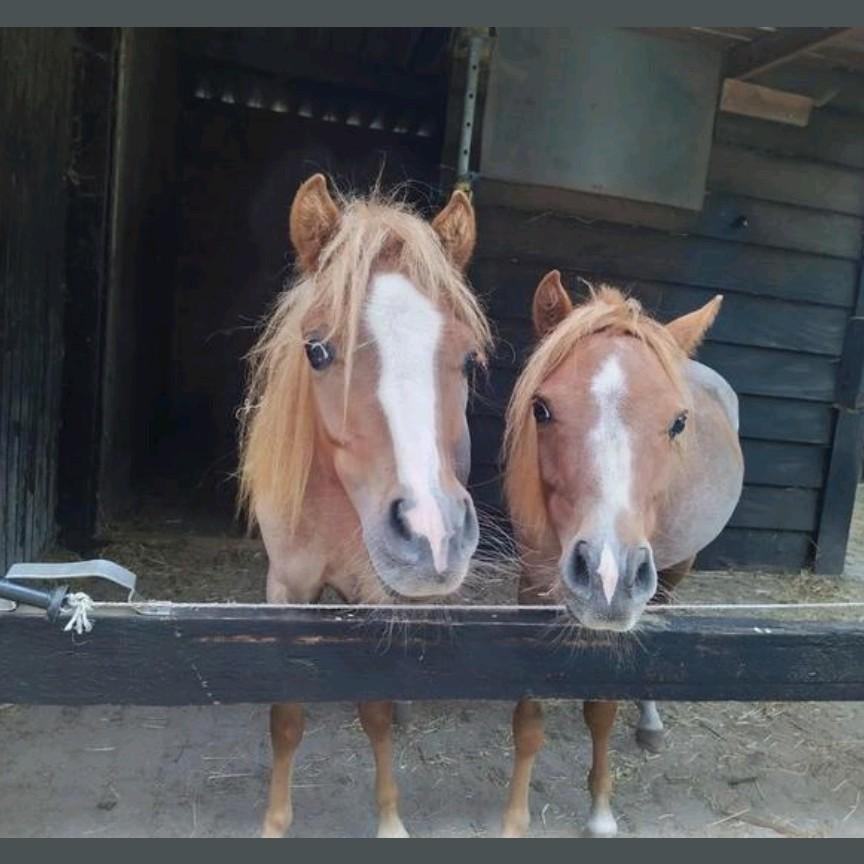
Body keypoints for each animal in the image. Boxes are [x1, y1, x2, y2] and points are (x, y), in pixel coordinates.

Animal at [238, 174, 492, 838]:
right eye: (317, 351)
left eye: (469, 359)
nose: (431, 532)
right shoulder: (287, 588)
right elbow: (287, 715)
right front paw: (275, 822)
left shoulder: (379, 593)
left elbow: (375, 708)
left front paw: (389, 821)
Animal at [500, 271, 744, 837]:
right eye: (541, 408)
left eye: (679, 422)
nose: (607, 576)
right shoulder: (532, 585)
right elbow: (527, 719)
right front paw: (516, 816)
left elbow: (602, 710)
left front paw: (600, 811)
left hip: (674, 569)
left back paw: (650, 720)